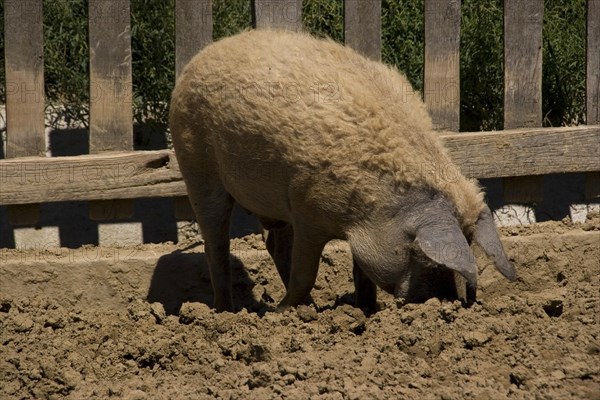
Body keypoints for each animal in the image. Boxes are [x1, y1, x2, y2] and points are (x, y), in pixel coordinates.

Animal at [169, 29, 516, 314]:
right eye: (425, 257)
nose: (444, 301)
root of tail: (199, 59)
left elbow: (362, 274)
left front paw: (366, 311)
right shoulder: (308, 212)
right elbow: (305, 273)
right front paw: (281, 313)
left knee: (273, 245)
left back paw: (306, 306)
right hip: (196, 166)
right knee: (216, 244)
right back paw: (227, 311)